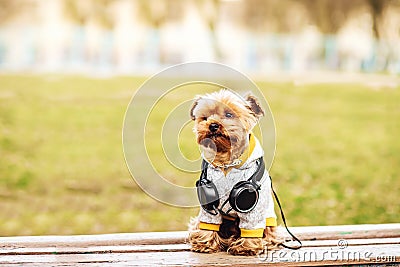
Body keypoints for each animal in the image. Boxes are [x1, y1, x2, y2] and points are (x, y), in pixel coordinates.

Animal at [188, 89, 282, 256]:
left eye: (229, 114)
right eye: (204, 117)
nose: (213, 125)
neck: (226, 161)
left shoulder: (254, 209)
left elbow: (251, 226)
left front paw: (246, 247)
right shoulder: (209, 206)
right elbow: (208, 223)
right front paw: (205, 243)